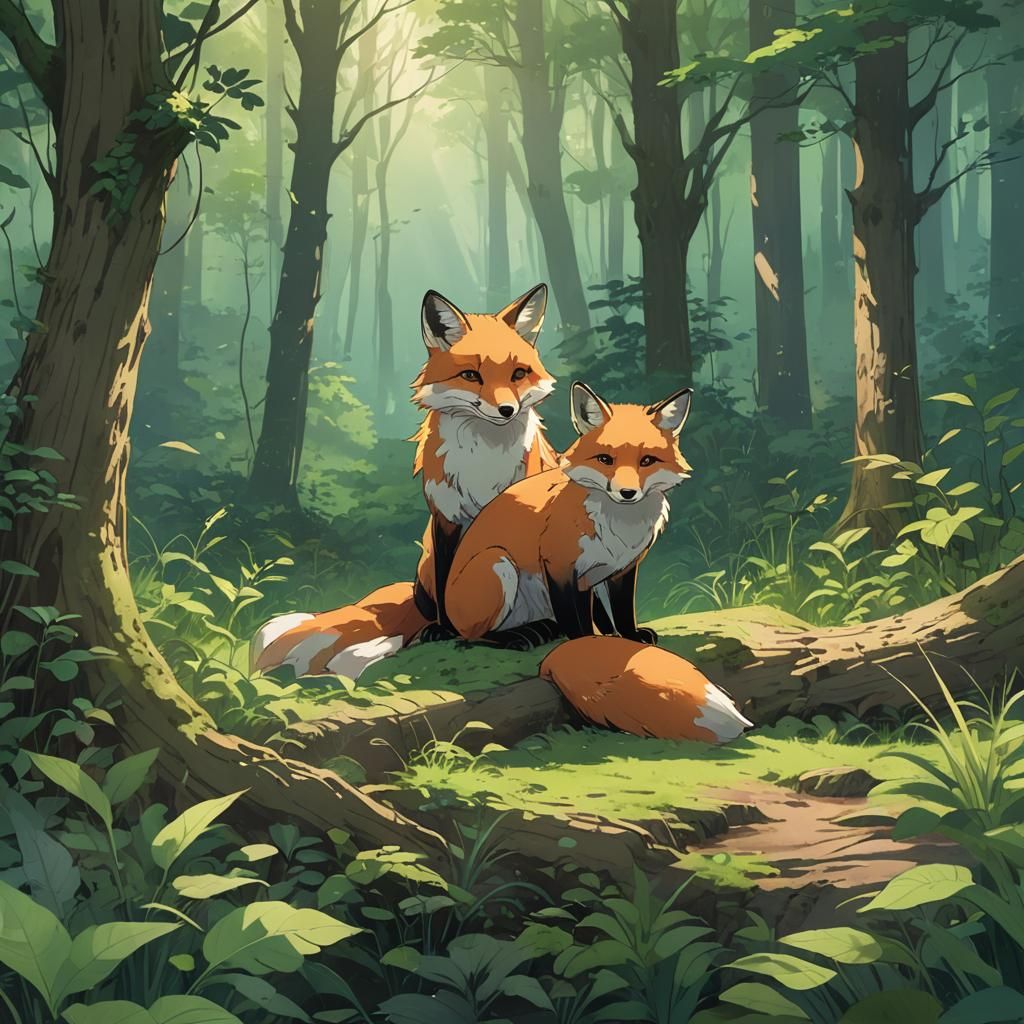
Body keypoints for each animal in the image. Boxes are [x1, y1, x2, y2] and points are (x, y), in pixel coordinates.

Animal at [250, 284, 559, 679]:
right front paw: (444, 632)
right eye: (471, 375)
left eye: (519, 373)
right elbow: (448, 595)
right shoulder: (446, 518)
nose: (507, 410)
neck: (484, 464)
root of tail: (413, 592)